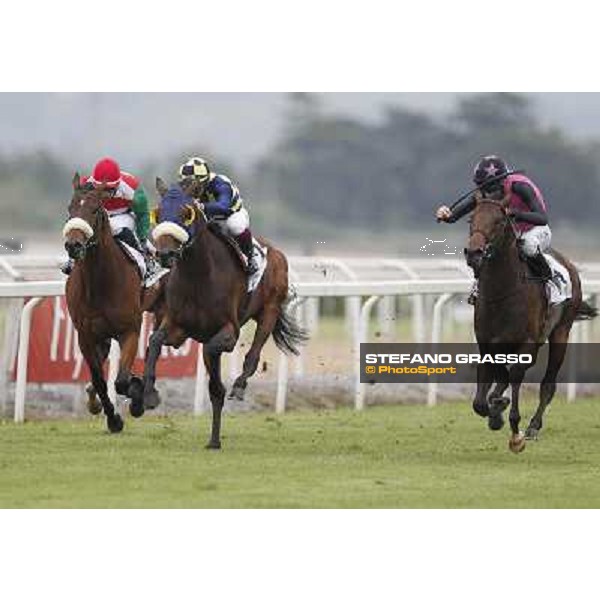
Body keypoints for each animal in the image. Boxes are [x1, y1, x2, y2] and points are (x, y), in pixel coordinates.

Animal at [63, 173, 165, 432]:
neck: (100, 282)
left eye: (95, 209)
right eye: (70, 208)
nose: (73, 245)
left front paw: (137, 398)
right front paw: (112, 417)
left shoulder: (129, 330)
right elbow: (99, 379)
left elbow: (121, 381)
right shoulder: (86, 336)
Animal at [142, 179, 308, 450]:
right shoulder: (177, 327)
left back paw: (239, 386)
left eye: (186, 213)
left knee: (253, 354)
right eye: (158, 213)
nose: (165, 254)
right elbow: (154, 341)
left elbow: (214, 360)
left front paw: (221, 390)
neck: (198, 276)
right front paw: (149, 394)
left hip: (269, 311)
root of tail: (275, 251)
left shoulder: (229, 331)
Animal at [464, 199, 596, 452]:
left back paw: (534, 425)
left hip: (560, 333)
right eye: (470, 219)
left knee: (548, 384)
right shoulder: (487, 343)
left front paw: (515, 432)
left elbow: (514, 374)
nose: (474, 252)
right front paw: (496, 409)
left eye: (500, 221)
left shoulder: (527, 343)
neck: (501, 293)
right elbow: (481, 398)